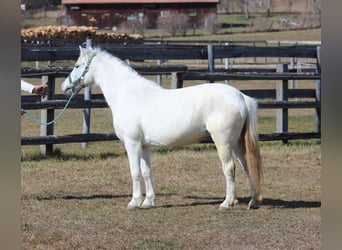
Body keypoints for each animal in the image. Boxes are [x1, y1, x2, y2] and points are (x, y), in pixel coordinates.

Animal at [61, 46, 264, 209]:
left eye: (77, 66)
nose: (64, 86)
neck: (127, 94)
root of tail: (241, 96)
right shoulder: (144, 145)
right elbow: (146, 172)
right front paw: (148, 202)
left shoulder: (132, 143)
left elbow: (135, 172)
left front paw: (134, 202)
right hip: (237, 143)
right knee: (247, 166)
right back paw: (252, 201)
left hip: (223, 142)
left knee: (229, 167)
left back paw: (227, 203)